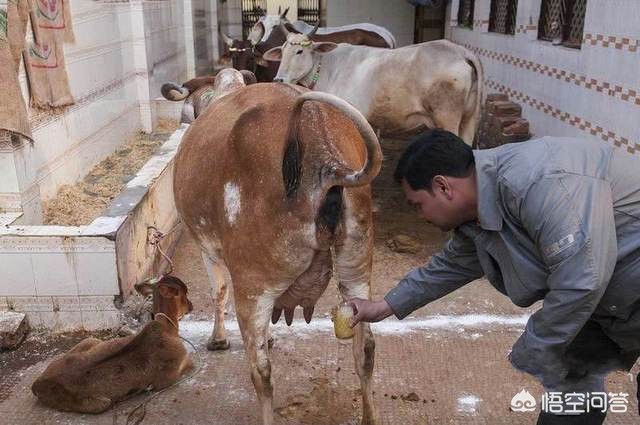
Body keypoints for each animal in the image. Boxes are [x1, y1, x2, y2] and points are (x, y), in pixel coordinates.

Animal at [31, 276, 194, 412]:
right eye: (184, 292)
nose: (191, 306)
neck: (168, 328)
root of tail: (36, 384)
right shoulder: (168, 377)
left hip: (90, 340)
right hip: (101, 404)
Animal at [174, 81, 384, 422]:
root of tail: (326, 160)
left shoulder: (208, 248)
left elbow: (218, 291)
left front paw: (218, 339)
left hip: (253, 285)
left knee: (261, 372)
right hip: (357, 269)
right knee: (365, 349)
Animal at [262, 31, 482, 144]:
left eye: (299, 51)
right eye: (282, 51)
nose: (279, 79)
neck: (327, 68)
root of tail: (459, 50)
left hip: (447, 117)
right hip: (469, 119)